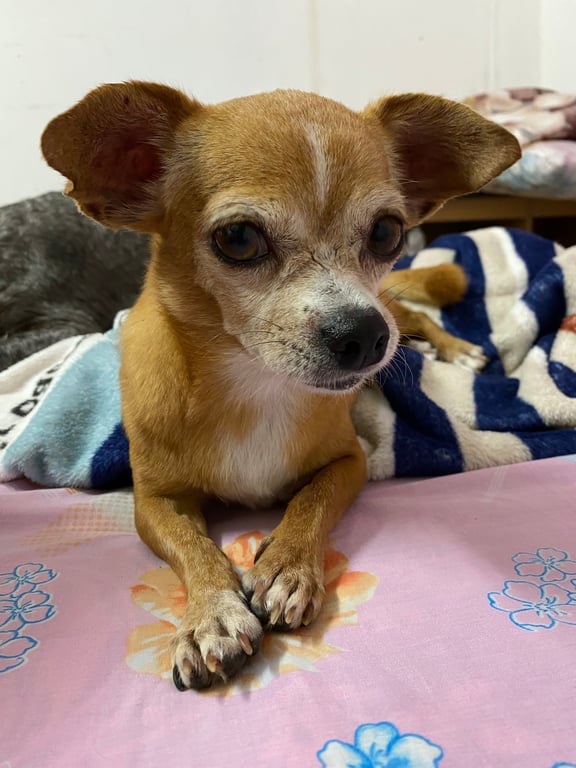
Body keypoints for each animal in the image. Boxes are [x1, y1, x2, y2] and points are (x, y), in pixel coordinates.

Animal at [41, 82, 520, 690]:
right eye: (239, 238)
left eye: (386, 231)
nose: (363, 335)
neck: (255, 384)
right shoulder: (154, 502)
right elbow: (193, 548)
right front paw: (213, 614)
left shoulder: (350, 463)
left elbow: (312, 502)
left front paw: (288, 568)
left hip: (390, 308)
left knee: (413, 313)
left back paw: (457, 348)